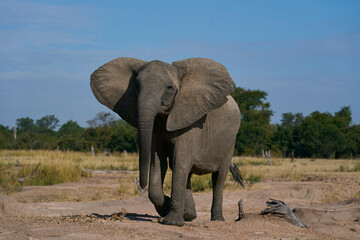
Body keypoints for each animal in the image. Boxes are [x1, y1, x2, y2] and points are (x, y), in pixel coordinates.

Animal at [90, 57, 243, 226]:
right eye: (136, 86)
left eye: (169, 88)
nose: (141, 184)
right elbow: (159, 161)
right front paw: (171, 209)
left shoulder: (192, 122)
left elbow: (179, 161)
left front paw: (172, 222)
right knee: (188, 174)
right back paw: (189, 214)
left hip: (230, 141)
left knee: (218, 177)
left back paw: (217, 219)